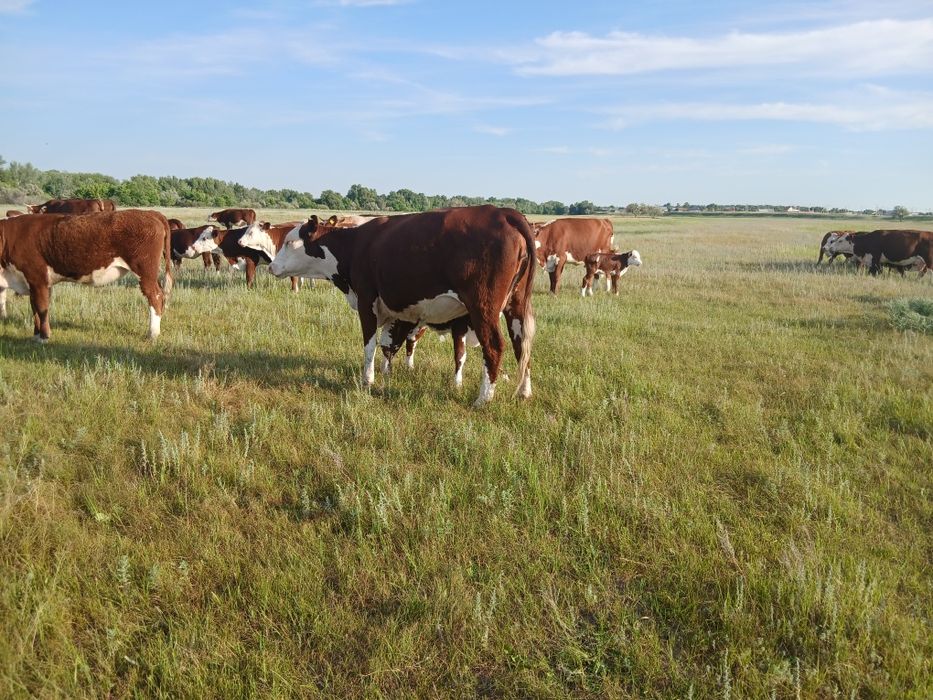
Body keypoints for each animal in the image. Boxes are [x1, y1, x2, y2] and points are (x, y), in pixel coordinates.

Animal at [0, 210, 173, 340]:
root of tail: (151, 213)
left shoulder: (38, 278)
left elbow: (42, 309)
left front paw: (44, 337)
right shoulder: (32, 283)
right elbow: (34, 308)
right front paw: (36, 337)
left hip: (145, 271)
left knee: (156, 296)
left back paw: (152, 334)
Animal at [259, 205, 536, 407]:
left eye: (290, 242)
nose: (271, 266)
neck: (355, 245)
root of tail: (503, 212)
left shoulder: (367, 300)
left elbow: (370, 344)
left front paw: (368, 380)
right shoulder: (394, 312)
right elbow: (388, 345)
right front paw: (386, 374)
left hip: (482, 306)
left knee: (494, 346)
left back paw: (483, 399)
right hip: (516, 305)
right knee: (521, 344)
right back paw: (524, 391)